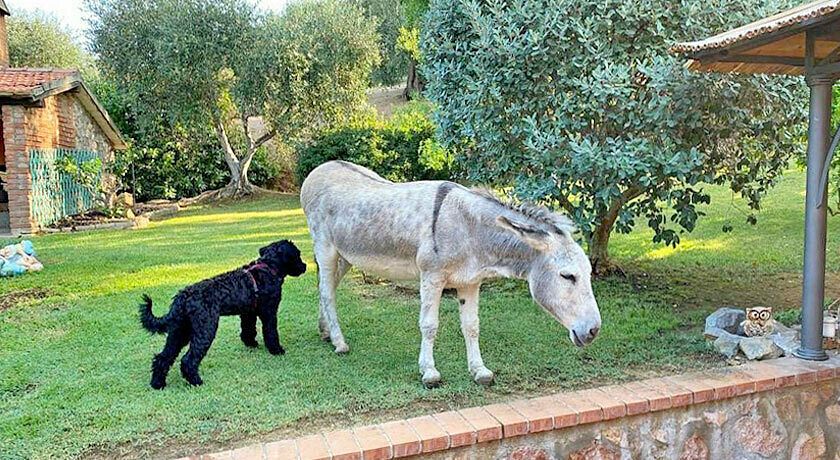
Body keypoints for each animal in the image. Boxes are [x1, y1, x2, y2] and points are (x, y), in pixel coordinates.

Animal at [139, 241, 306, 388]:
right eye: (297, 254)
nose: (305, 266)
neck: (268, 267)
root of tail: (183, 296)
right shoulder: (269, 313)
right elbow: (271, 332)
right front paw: (276, 350)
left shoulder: (248, 312)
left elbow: (248, 329)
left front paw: (250, 343)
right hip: (205, 329)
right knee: (188, 360)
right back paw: (196, 381)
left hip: (179, 331)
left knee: (163, 357)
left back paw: (157, 384)